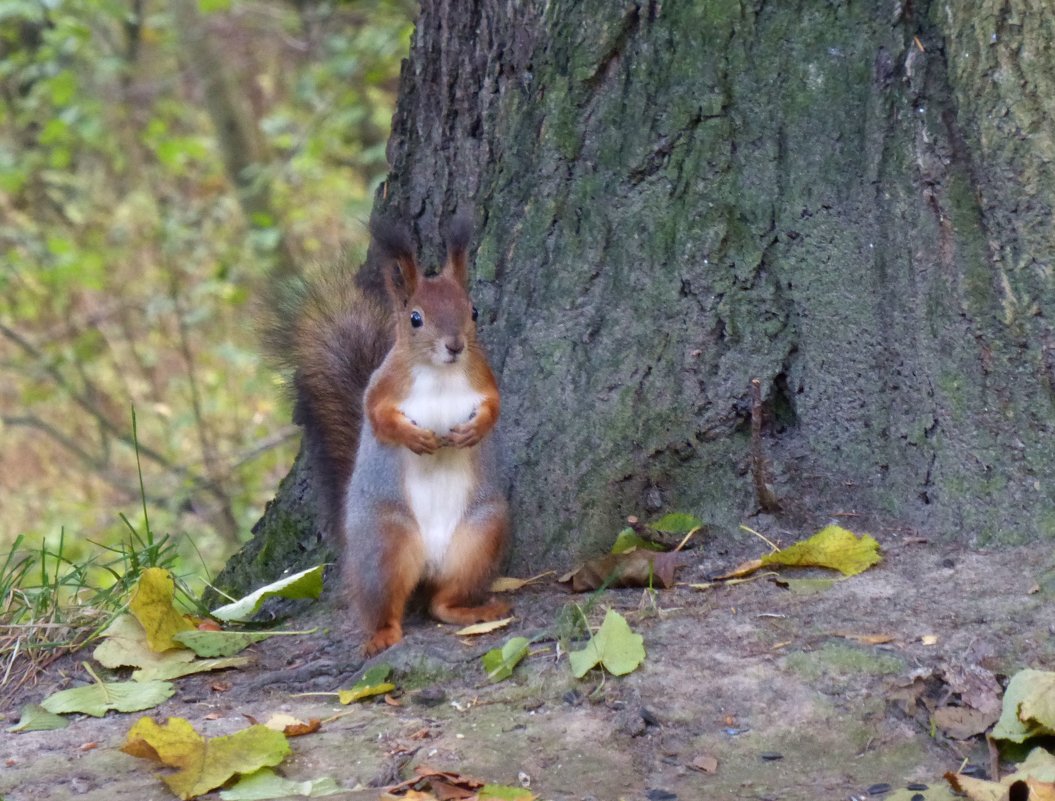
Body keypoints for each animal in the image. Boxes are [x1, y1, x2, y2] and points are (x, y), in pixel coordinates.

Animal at [265, 216, 508, 654]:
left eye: (473, 310)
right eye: (415, 318)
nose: (455, 346)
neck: (440, 373)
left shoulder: (484, 378)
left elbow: (494, 408)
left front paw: (473, 431)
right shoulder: (381, 389)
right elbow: (378, 419)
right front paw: (416, 439)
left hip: (480, 535)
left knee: (442, 602)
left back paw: (471, 612)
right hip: (386, 541)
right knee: (383, 603)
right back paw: (382, 636)